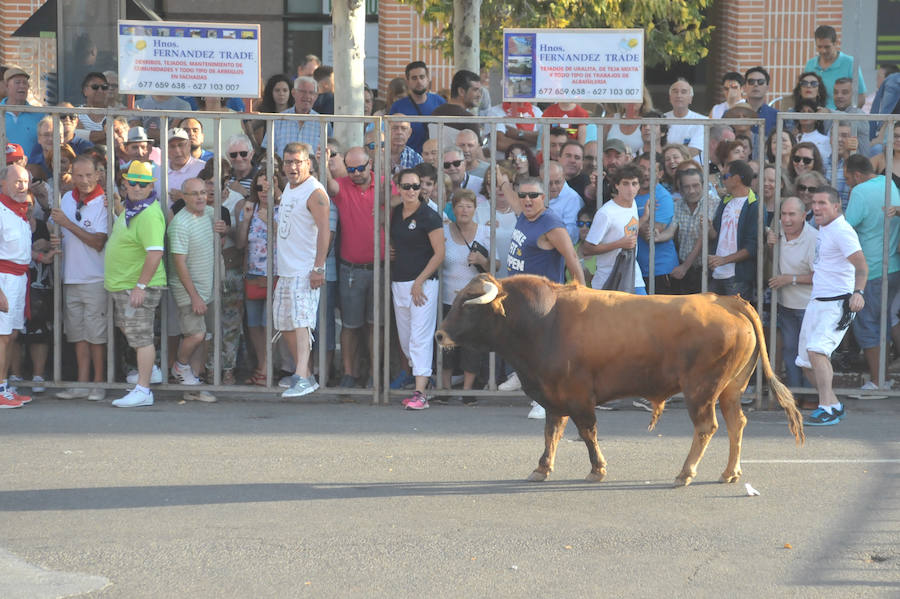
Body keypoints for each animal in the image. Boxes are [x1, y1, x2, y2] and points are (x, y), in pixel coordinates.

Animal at [432, 274, 804, 486]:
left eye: (468, 304)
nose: (438, 335)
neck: (543, 321)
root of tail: (729, 302)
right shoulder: (553, 396)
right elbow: (552, 433)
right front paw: (542, 468)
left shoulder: (578, 396)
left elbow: (587, 433)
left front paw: (597, 469)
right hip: (730, 389)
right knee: (736, 423)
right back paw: (729, 473)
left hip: (701, 390)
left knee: (707, 427)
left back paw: (685, 473)